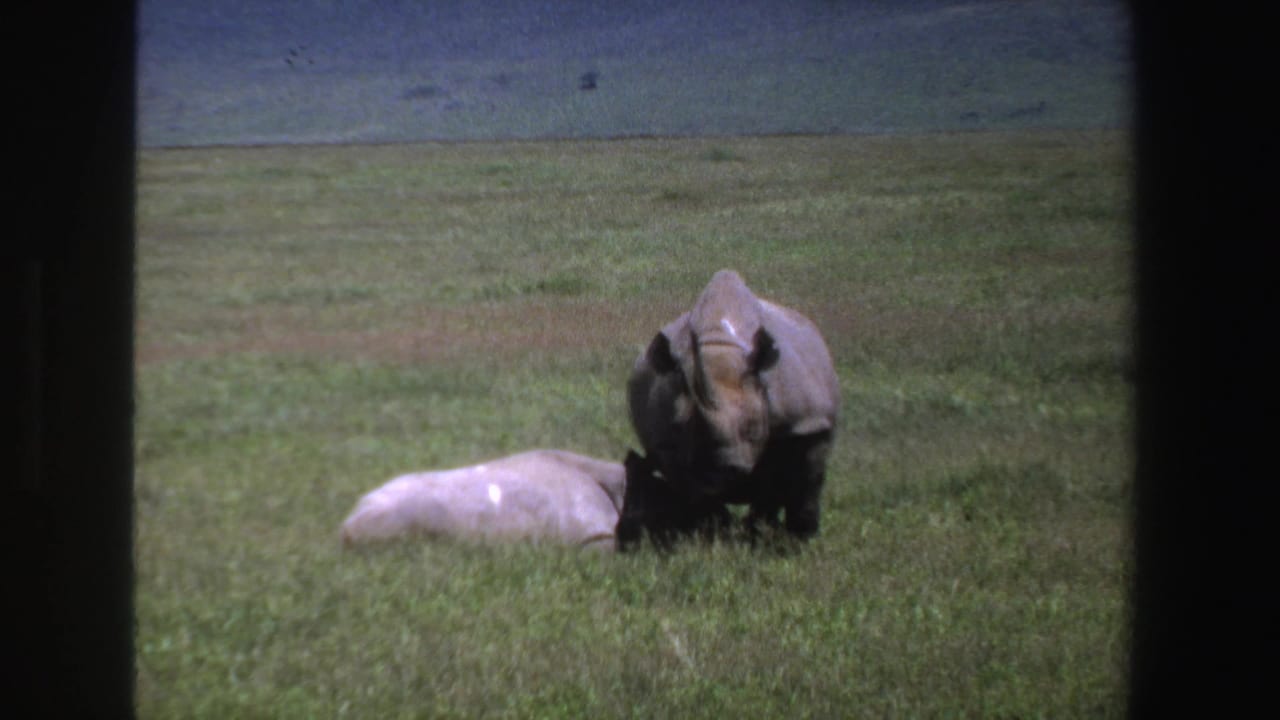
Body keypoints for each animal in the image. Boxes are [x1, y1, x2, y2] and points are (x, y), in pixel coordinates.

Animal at [627, 269, 839, 540]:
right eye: (679, 428)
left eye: (753, 429)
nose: (721, 472)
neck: (719, 348)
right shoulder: (667, 444)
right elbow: (696, 495)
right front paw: (709, 536)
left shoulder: (807, 421)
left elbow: (807, 481)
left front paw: (799, 540)